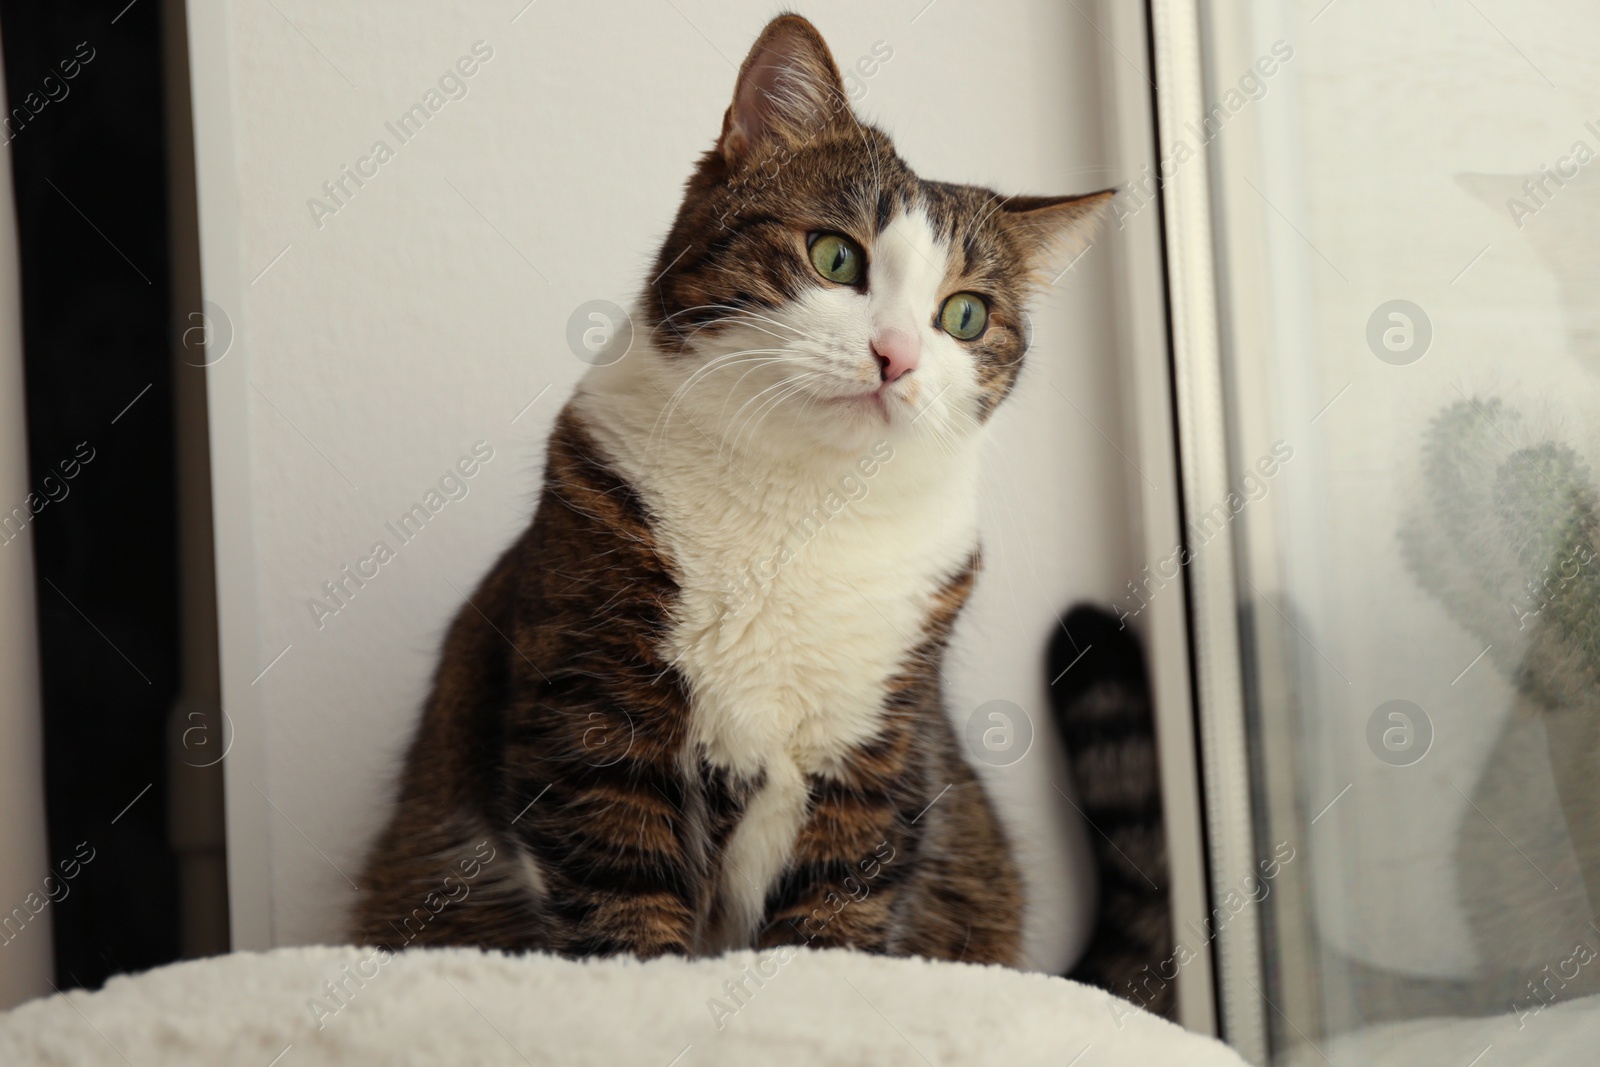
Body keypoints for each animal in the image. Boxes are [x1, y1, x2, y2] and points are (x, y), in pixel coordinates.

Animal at [355, 12, 1113, 966]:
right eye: (835, 256)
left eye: (966, 315)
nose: (897, 355)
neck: (798, 503)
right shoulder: (594, 708)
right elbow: (619, 895)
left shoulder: (873, 748)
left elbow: (835, 911)